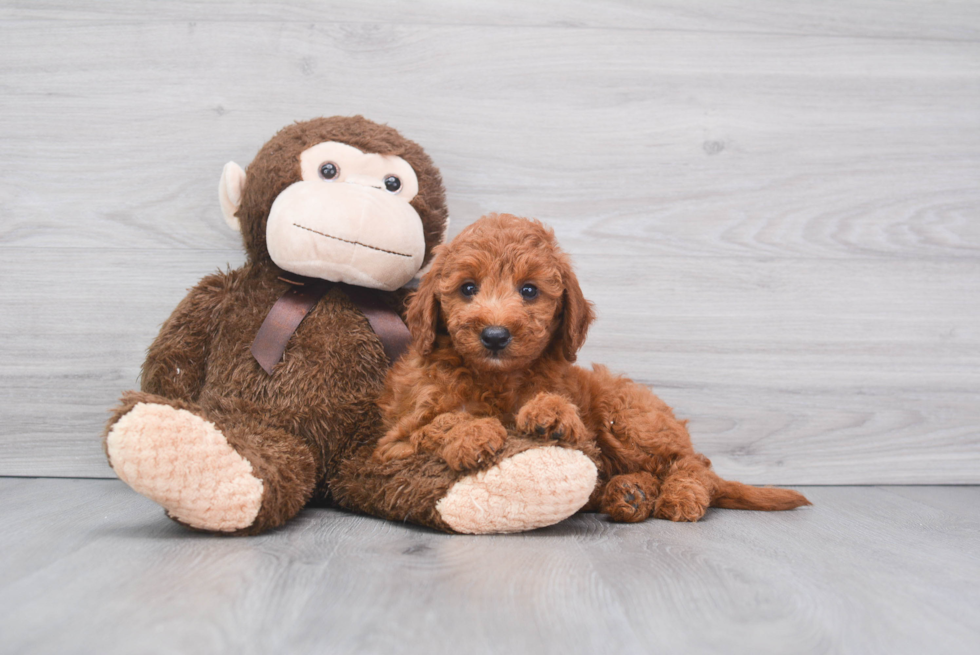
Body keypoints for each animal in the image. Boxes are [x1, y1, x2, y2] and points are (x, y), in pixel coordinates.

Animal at [376, 214, 812, 524]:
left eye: (529, 290)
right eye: (467, 288)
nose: (495, 335)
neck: (496, 377)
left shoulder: (583, 422)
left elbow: (560, 411)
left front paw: (549, 413)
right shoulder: (391, 443)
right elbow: (441, 421)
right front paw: (474, 433)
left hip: (626, 414)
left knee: (693, 463)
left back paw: (678, 495)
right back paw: (630, 494)